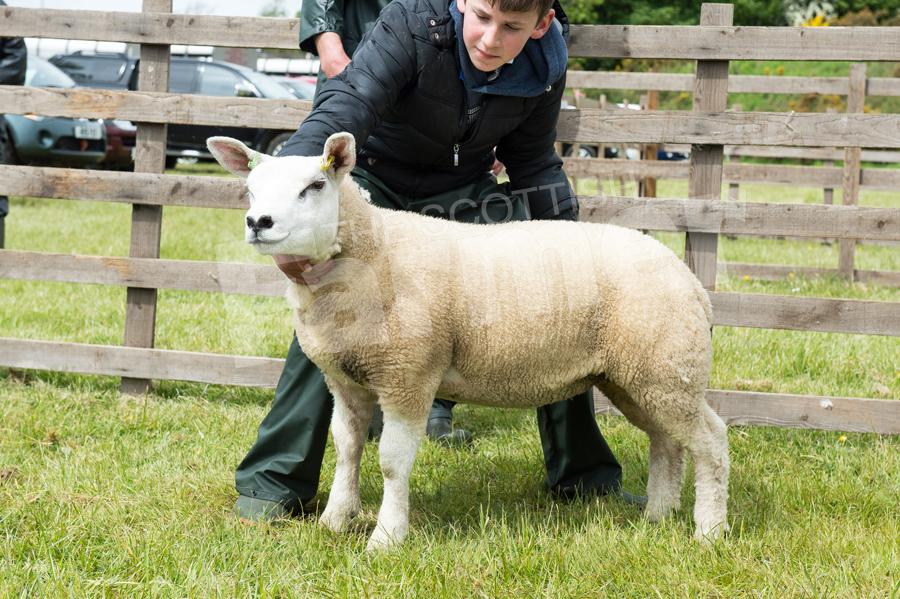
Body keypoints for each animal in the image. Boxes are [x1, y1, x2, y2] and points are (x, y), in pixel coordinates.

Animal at [207, 132, 728, 552]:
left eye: (314, 187)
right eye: (250, 189)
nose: (259, 221)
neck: (374, 253)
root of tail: (691, 281)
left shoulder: (408, 376)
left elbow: (392, 462)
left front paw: (387, 538)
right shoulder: (346, 380)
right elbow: (347, 448)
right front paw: (336, 520)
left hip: (666, 365)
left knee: (710, 441)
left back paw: (709, 530)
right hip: (637, 374)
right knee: (666, 442)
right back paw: (658, 515)